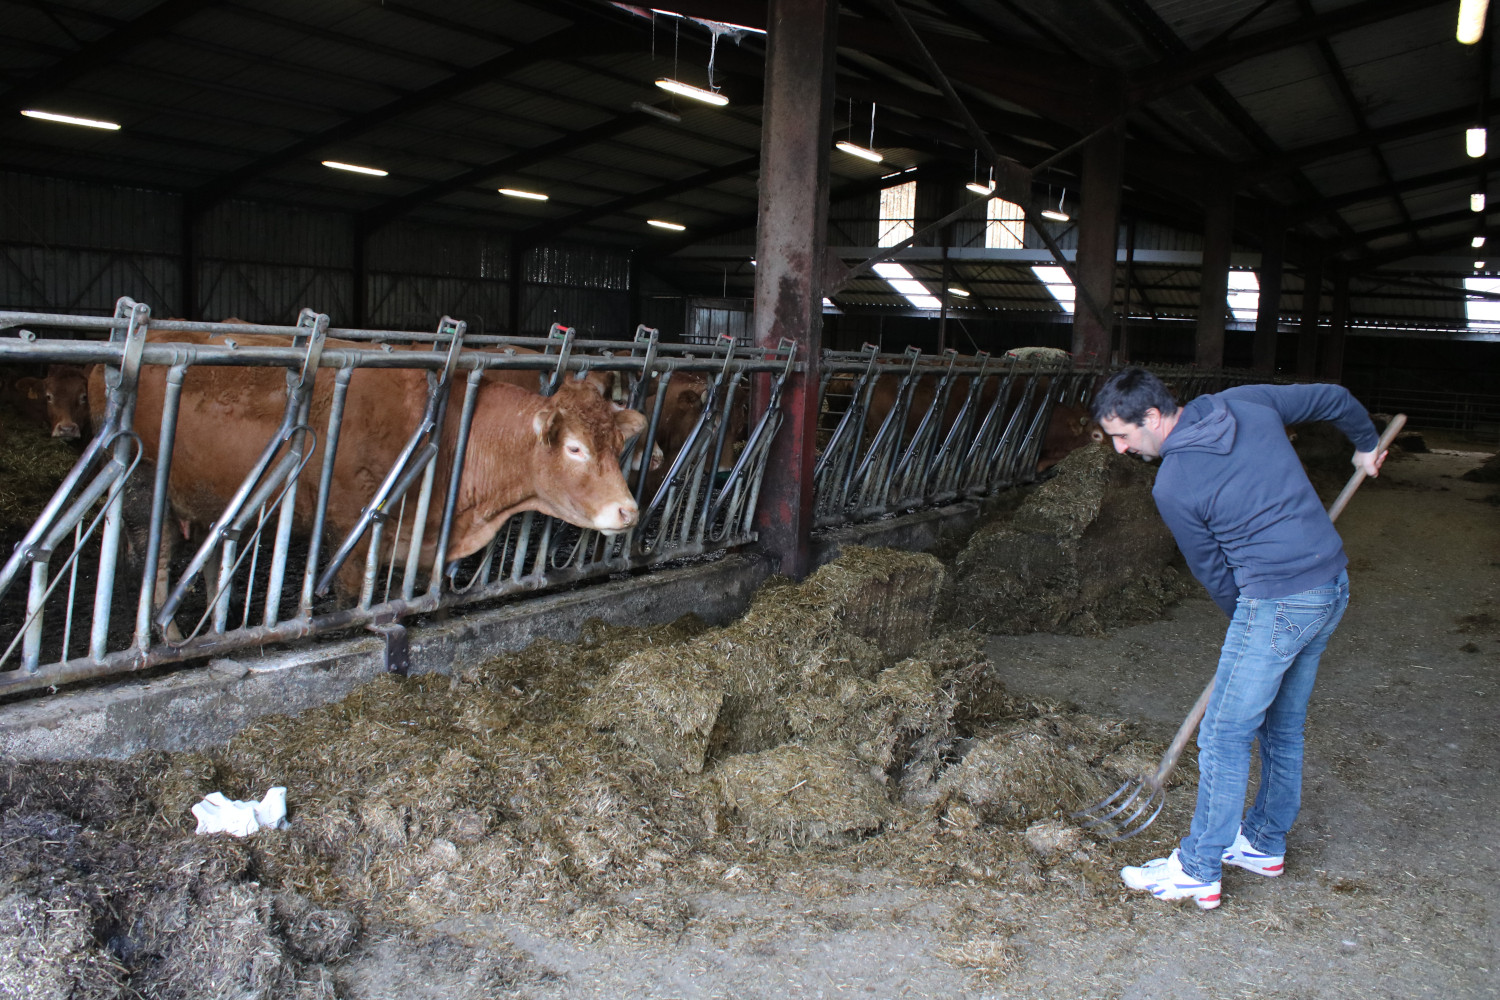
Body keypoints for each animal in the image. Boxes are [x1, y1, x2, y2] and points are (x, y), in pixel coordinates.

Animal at [92, 335, 645, 599]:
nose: (629, 511)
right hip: (143, 493)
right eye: (574, 449)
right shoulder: (349, 535)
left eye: (619, 443)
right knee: (154, 561)